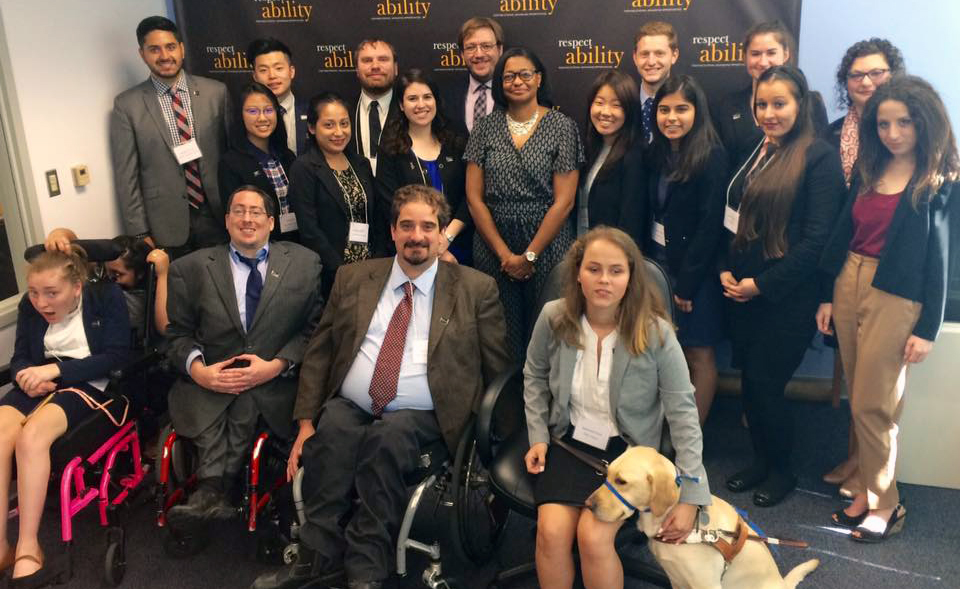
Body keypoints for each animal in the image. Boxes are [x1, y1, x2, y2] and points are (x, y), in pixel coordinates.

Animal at [584, 446, 816, 588]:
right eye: (607, 473)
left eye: (621, 481)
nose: (587, 505)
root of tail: (782, 583)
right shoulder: (675, 580)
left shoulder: (707, 584)